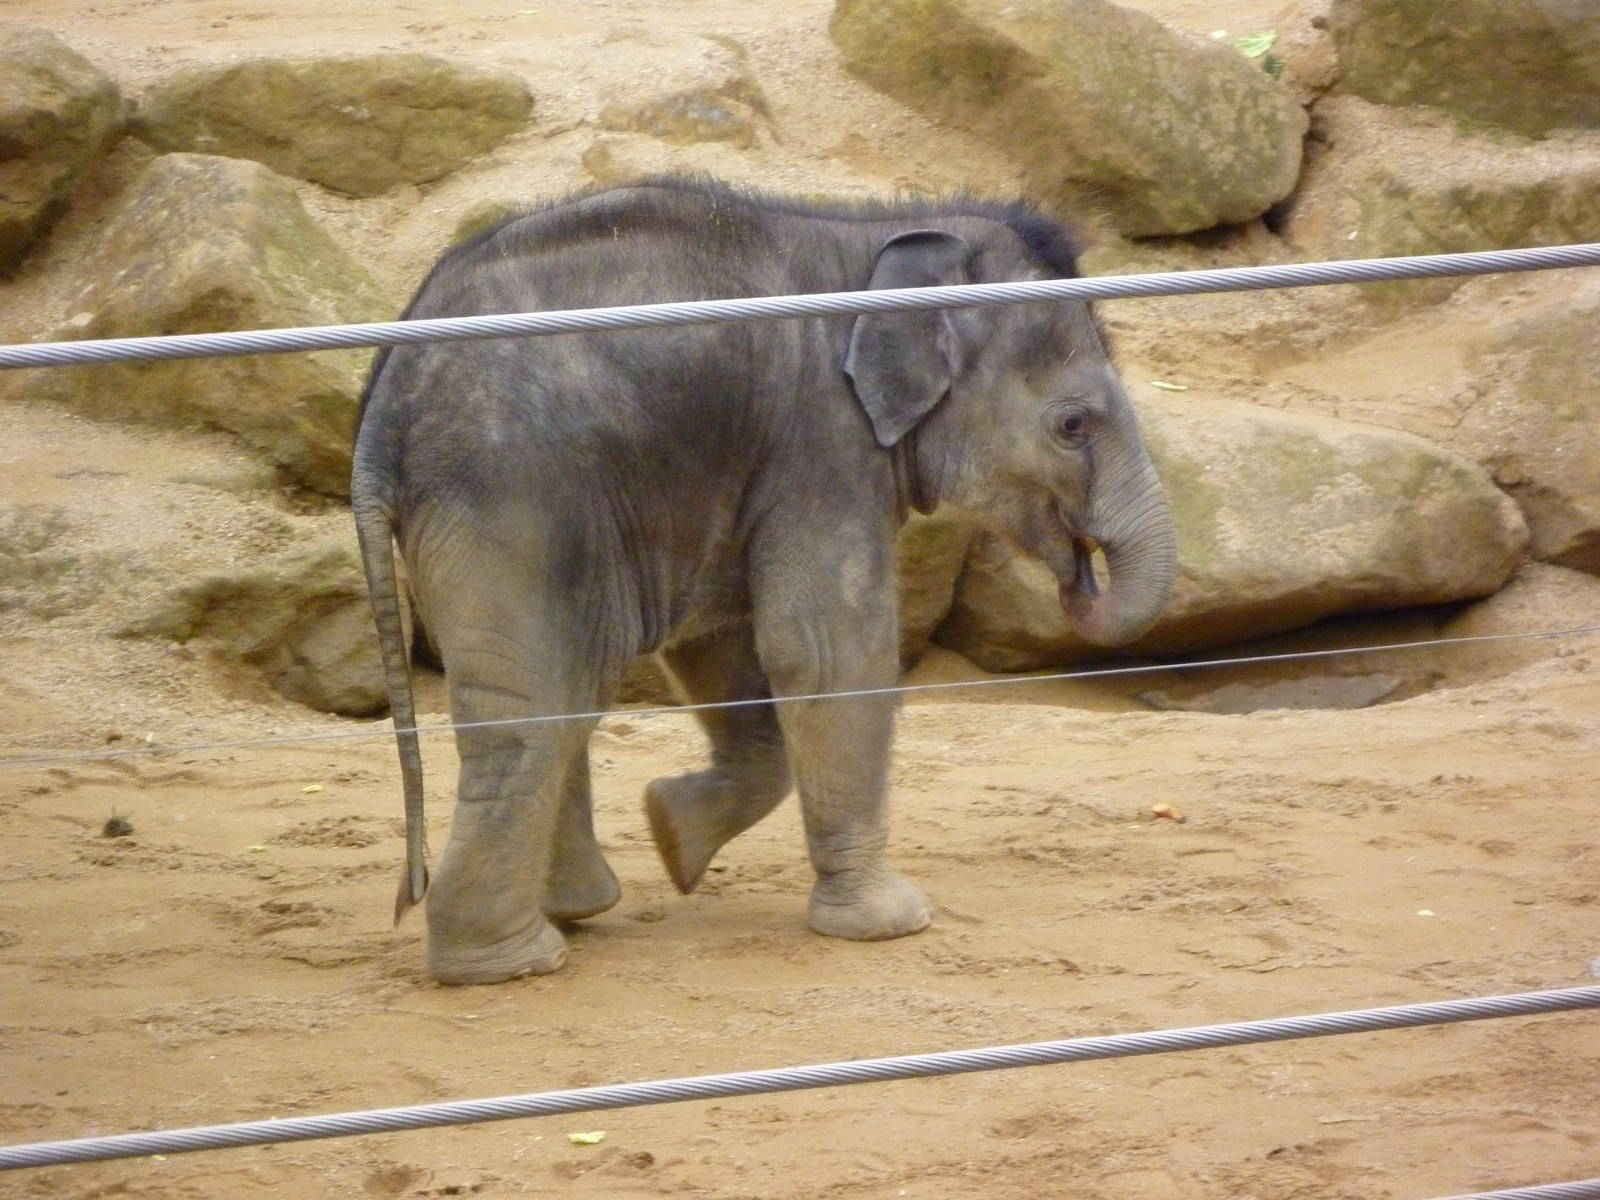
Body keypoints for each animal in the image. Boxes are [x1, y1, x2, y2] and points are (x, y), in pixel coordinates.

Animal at [353, 176, 1177, 985]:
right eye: (1073, 426)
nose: (1079, 579)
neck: (870, 241)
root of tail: (380, 407)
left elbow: (725, 650)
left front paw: (671, 832)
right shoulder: (822, 442)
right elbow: (824, 647)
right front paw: (892, 923)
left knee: (563, 690)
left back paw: (575, 911)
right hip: (513, 493)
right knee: (532, 700)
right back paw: (509, 963)